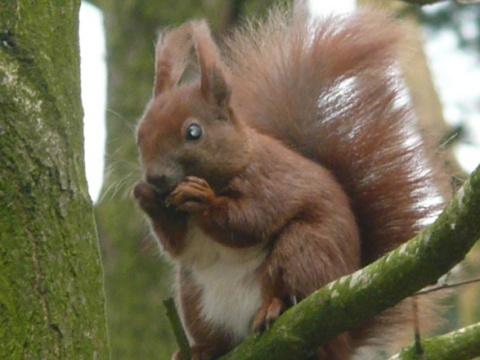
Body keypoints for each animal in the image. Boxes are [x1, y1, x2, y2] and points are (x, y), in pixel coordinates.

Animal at [133, 7, 448, 360]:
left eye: (193, 132)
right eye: (139, 134)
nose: (155, 177)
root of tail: (345, 339)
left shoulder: (272, 181)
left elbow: (251, 221)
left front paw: (203, 200)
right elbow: (177, 245)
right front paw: (144, 196)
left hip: (305, 250)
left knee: (293, 288)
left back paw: (274, 307)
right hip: (193, 296)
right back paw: (203, 349)